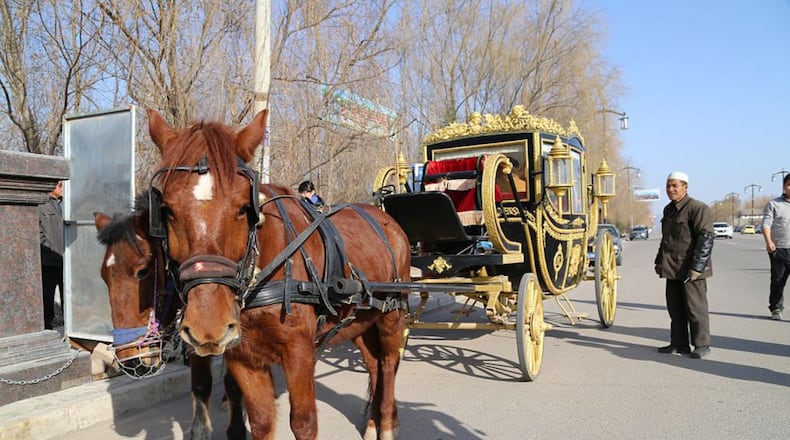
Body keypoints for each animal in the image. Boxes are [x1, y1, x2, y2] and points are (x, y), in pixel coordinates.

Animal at [146, 108, 411, 440]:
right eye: (166, 209)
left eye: (244, 208)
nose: (209, 327)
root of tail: (384, 217)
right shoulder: (243, 357)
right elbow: (260, 420)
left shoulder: (299, 352)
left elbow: (304, 422)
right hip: (360, 320)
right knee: (373, 363)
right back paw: (374, 422)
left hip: (391, 314)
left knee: (388, 363)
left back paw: (386, 423)